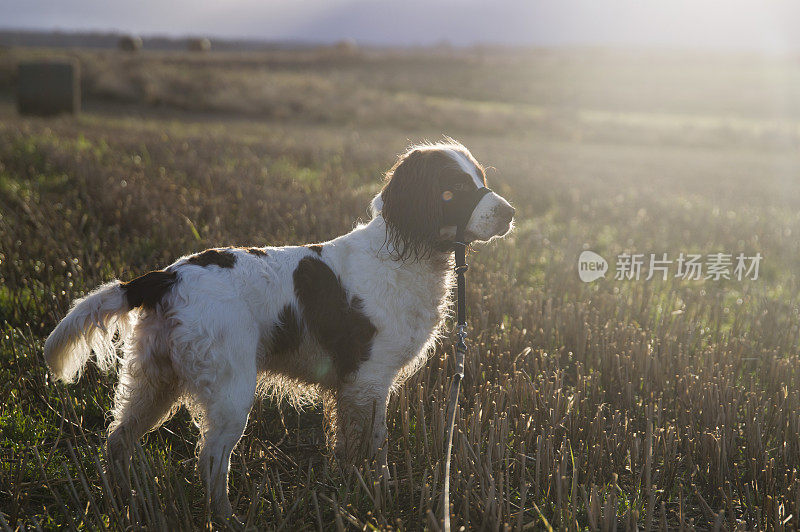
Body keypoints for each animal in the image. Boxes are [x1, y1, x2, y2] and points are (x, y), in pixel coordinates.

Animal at [43, 139, 516, 516]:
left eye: (481, 177)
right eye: (456, 188)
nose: (511, 213)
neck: (404, 254)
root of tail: (166, 276)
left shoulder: (357, 387)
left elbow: (354, 446)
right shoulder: (367, 379)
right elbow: (372, 447)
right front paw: (373, 497)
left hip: (155, 382)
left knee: (118, 438)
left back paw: (122, 500)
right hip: (230, 390)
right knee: (210, 458)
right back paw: (226, 517)